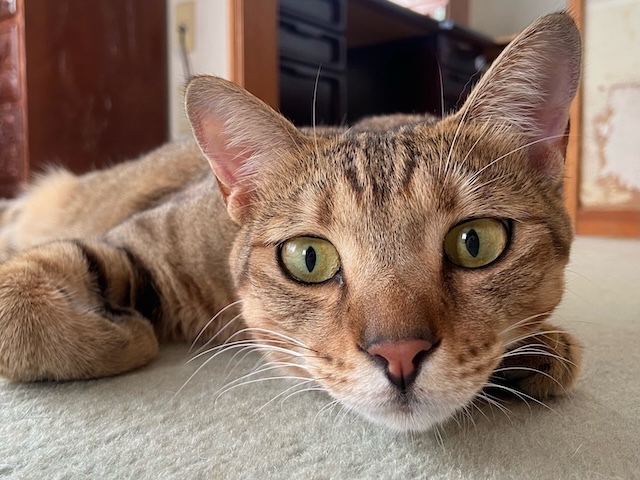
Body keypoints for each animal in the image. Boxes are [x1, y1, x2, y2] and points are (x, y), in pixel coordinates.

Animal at [0, 13, 581, 432]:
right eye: (309, 258)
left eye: (474, 242)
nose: (399, 353)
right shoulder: (137, 242)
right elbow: (21, 309)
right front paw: (128, 335)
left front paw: (537, 352)